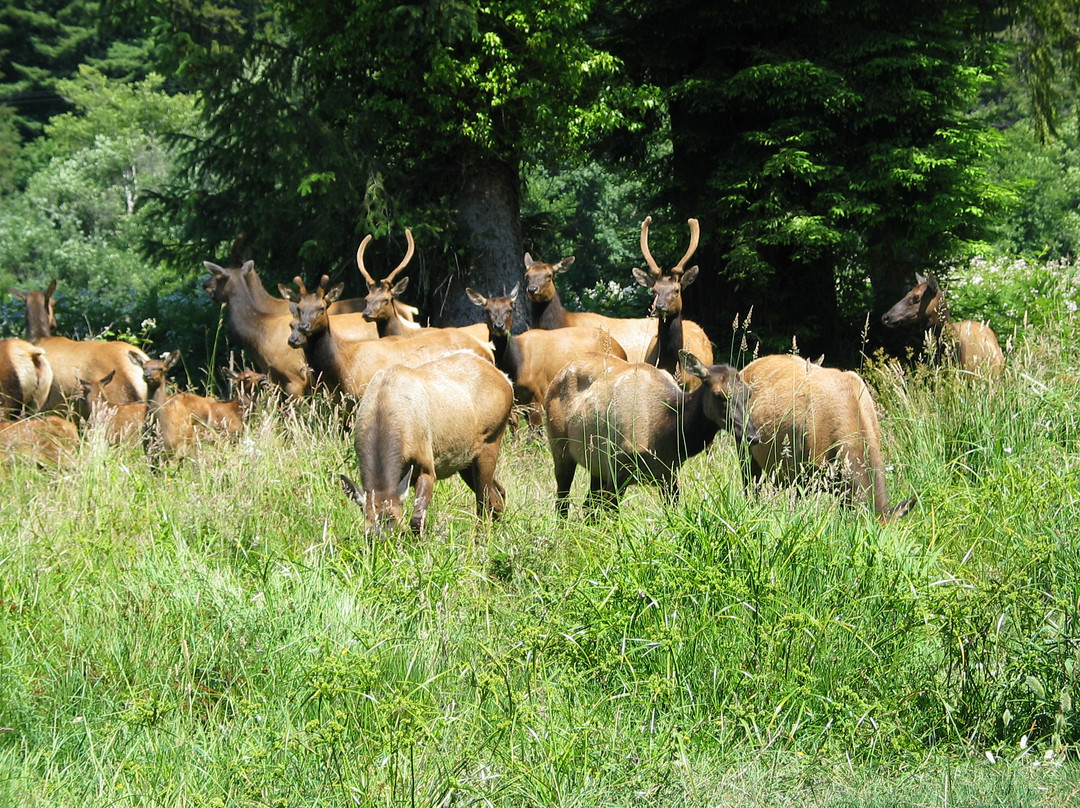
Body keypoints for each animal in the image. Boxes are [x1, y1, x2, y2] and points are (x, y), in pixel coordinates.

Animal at [343, 349, 516, 533]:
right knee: (498, 495)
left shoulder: (426, 464)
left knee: (484, 502)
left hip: (491, 441)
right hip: (466, 460)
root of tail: (507, 380)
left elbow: (417, 520)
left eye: (398, 529)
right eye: (368, 536)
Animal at [466, 280, 630, 425]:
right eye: (487, 311)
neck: (515, 367)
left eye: (509, 309)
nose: (499, 326)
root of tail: (622, 350)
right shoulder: (515, 405)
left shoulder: (536, 397)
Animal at [544, 345, 756, 512]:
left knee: (588, 506)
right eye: (719, 395)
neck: (667, 435)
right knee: (563, 502)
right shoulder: (619, 467)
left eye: (749, 393)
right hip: (561, 448)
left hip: (596, 465)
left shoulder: (669, 473)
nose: (752, 435)